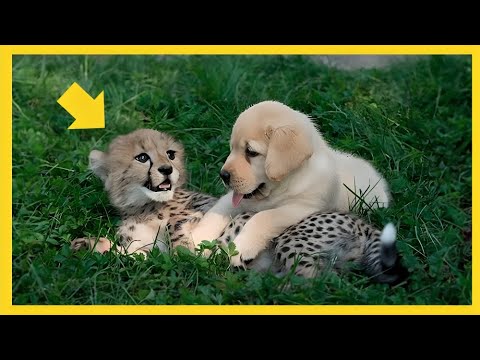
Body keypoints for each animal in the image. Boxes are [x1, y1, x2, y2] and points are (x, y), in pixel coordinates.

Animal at [191, 100, 390, 266]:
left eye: (251, 152)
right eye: (232, 148)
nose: (223, 175)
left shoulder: (303, 208)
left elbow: (263, 217)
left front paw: (241, 247)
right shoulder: (238, 199)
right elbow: (216, 212)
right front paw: (197, 239)